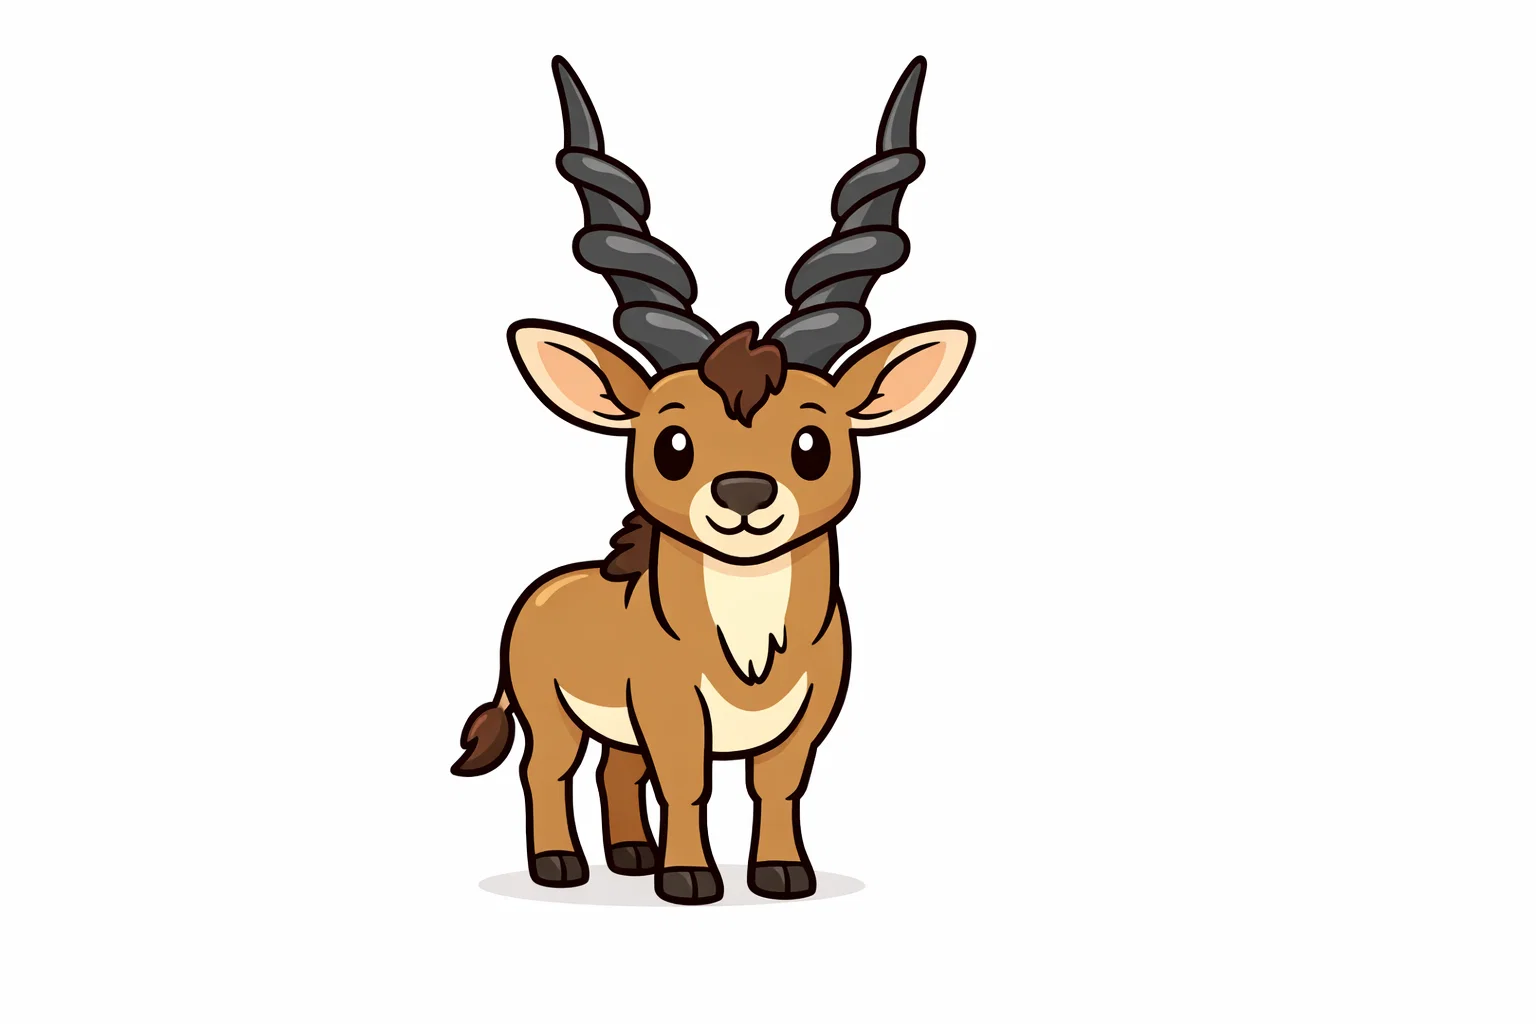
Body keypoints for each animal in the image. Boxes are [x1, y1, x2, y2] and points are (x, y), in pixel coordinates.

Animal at [452, 55, 975, 905]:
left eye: (811, 441)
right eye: (670, 442)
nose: (744, 496)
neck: (750, 650)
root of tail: (541, 592)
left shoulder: (807, 717)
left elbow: (777, 785)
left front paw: (782, 873)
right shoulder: (669, 710)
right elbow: (687, 783)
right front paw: (691, 878)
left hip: (614, 727)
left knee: (616, 772)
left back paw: (632, 855)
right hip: (550, 713)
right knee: (547, 770)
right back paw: (562, 865)